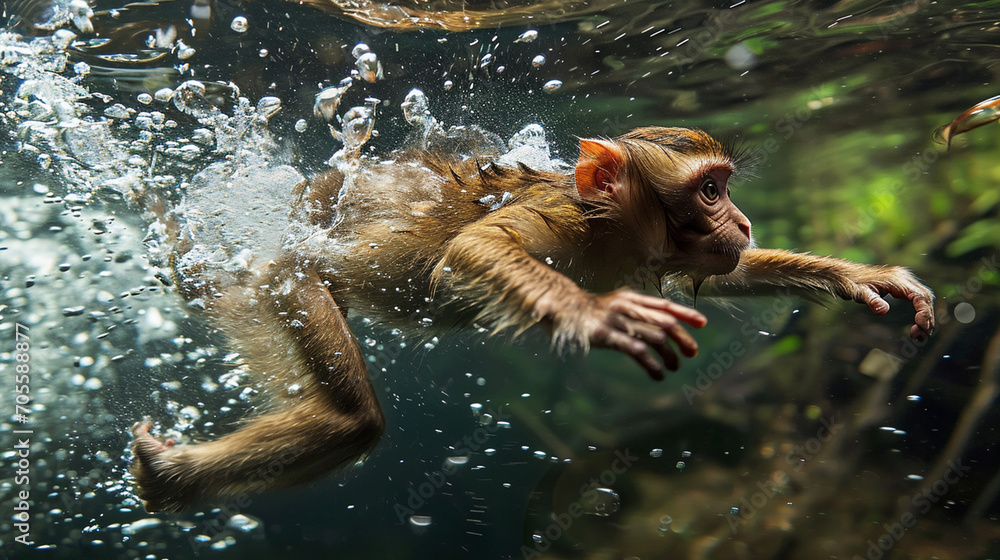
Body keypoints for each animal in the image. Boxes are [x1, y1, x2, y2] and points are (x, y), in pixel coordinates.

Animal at [127, 126, 936, 512]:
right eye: (711, 190)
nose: (740, 218)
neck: (613, 231)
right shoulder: (557, 219)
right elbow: (475, 246)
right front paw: (595, 315)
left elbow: (724, 272)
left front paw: (858, 275)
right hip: (286, 279)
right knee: (351, 416)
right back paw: (175, 474)